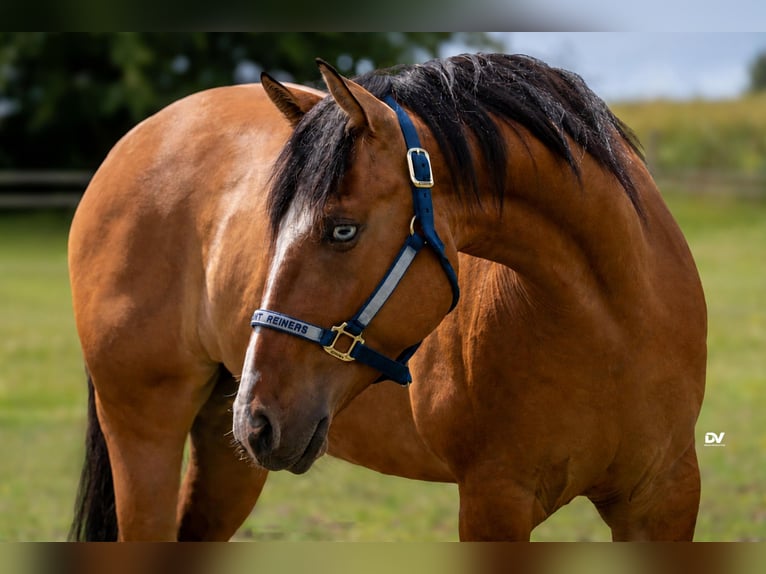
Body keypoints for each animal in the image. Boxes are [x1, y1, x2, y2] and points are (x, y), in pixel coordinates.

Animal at [67, 53, 706, 541]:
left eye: (342, 230)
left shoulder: (665, 497)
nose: (257, 419)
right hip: (145, 429)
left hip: (227, 455)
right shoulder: (494, 500)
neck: (610, 326)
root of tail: (133, 142)